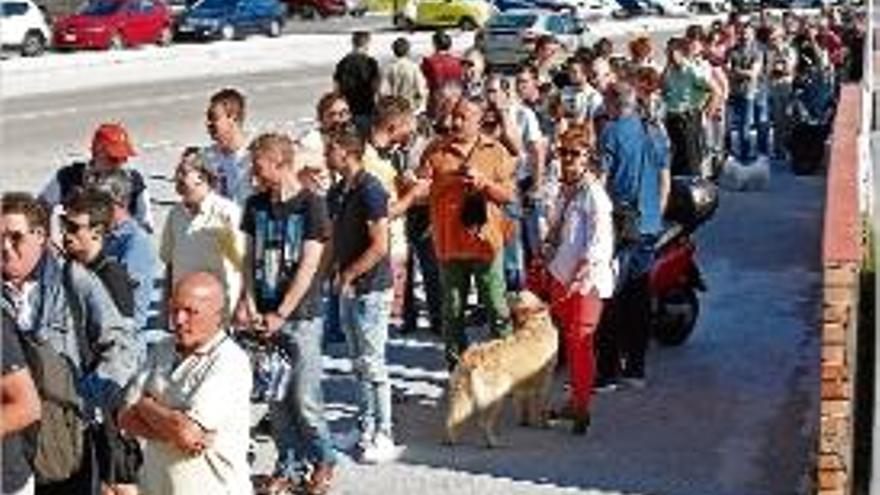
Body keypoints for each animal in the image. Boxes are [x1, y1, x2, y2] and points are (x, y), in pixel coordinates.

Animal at [444, 290, 560, 450]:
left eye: (518, 295)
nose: (507, 292)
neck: (535, 323)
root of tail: (471, 358)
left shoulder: (523, 386)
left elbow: (523, 403)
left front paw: (525, 421)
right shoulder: (546, 380)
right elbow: (543, 406)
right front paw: (546, 423)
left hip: (461, 394)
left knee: (452, 419)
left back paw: (451, 439)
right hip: (495, 398)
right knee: (483, 423)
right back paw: (492, 442)